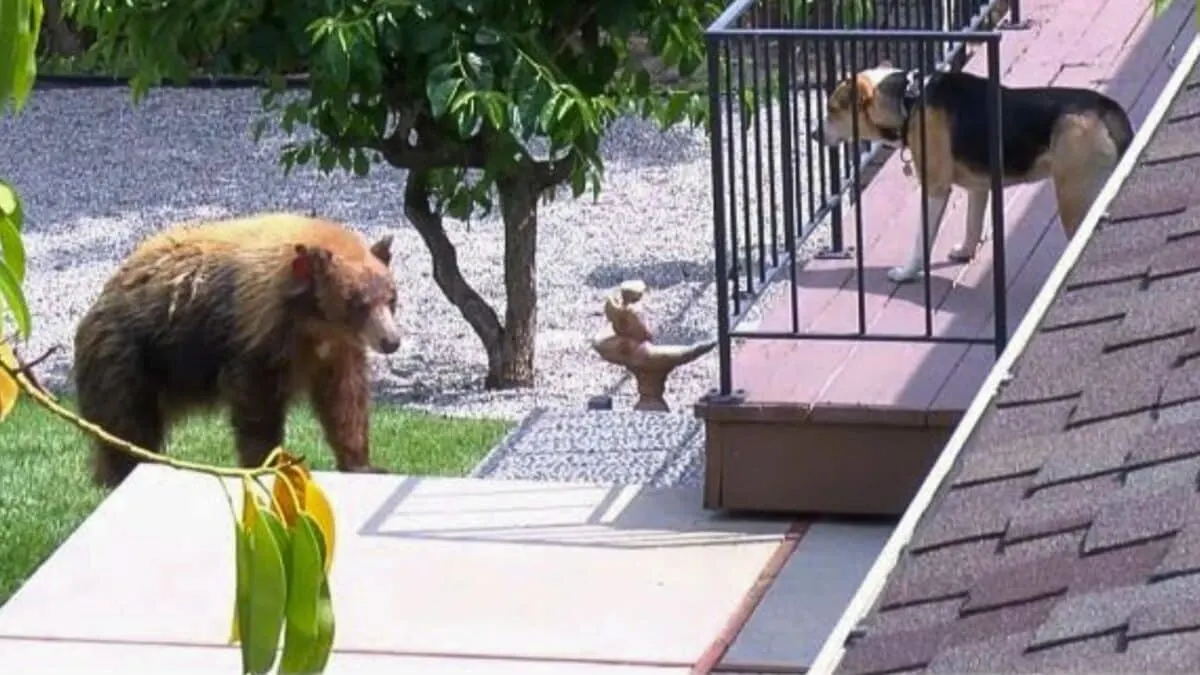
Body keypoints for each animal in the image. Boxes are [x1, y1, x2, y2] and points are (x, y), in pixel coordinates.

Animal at [75, 210, 403, 482]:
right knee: (127, 428)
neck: (310, 318)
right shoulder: (257, 337)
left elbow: (345, 398)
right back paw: (117, 475)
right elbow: (257, 406)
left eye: (391, 298)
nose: (392, 341)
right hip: (128, 361)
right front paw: (266, 462)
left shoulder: (336, 347)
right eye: (357, 302)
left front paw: (364, 464)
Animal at [816, 61, 1132, 282]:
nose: (813, 134)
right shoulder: (979, 187)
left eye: (832, 109)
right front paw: (965, 252)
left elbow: (921, 239)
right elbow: (972, 223)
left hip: (1073, 197)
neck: (910, 101)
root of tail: (1106, 108)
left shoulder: (935, 188)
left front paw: (906, 273)